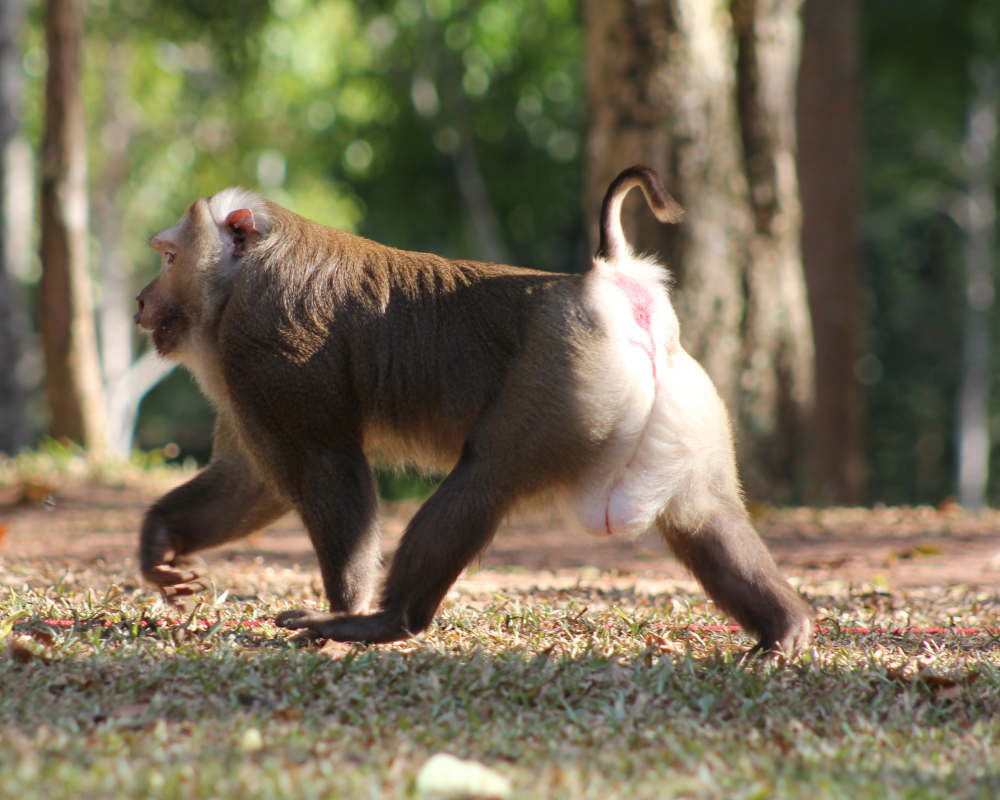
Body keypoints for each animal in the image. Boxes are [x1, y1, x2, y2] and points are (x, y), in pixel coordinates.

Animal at [135, 165, 813, 656]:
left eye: (168, 257)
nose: (141, 299)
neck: (242, 276)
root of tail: (609, 282)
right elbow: (253, 481)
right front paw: (162, 547)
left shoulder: (266, 342)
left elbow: (327, 466)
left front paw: (345, 609)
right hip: (681, 396)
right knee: (702, 511)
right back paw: (784, 630)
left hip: (565, 385)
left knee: (485, 477)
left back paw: (387, 621)